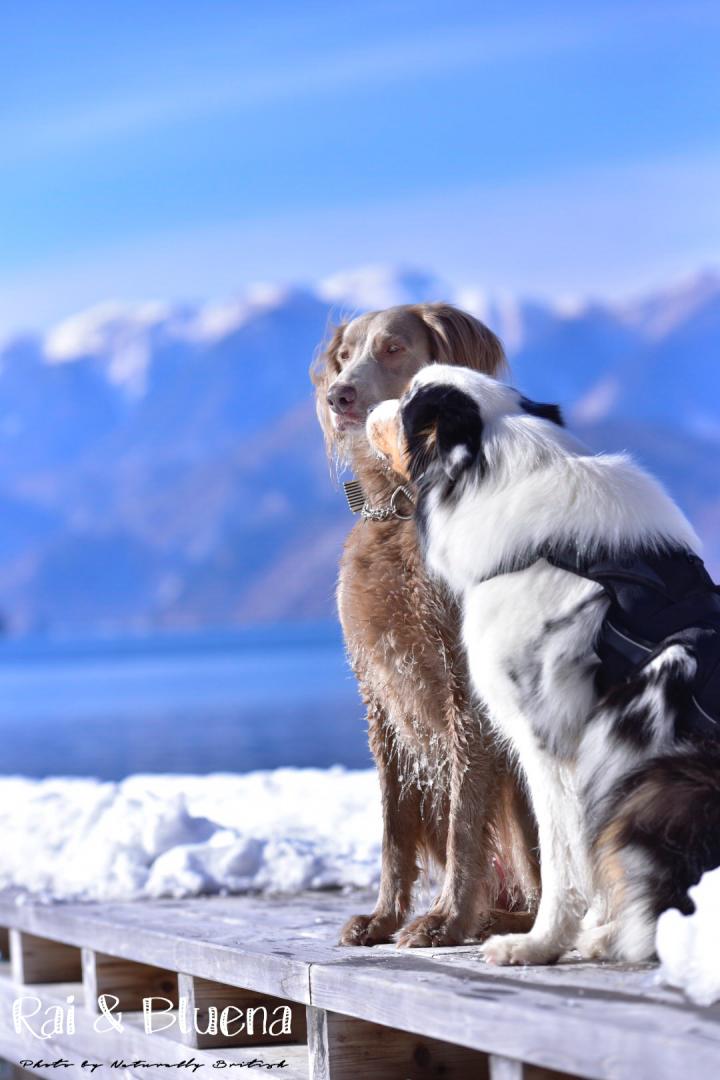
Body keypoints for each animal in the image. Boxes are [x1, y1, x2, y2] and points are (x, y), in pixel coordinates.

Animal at [313, 304, 537, 946]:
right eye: (345, 356)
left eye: (393, 348)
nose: (339, 395)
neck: (401, 507)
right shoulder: (376, 687)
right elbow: (392, 824)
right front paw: (383, 916)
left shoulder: (466, 691)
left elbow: (464, 820)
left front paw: (443, 920)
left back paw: (489, 920)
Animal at [369, 367, 720, 967]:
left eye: (409, 398)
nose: (360, 405)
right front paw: (588, 931)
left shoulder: (551, 744)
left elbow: (563, 858)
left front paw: (538, 943)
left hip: (658, 786)